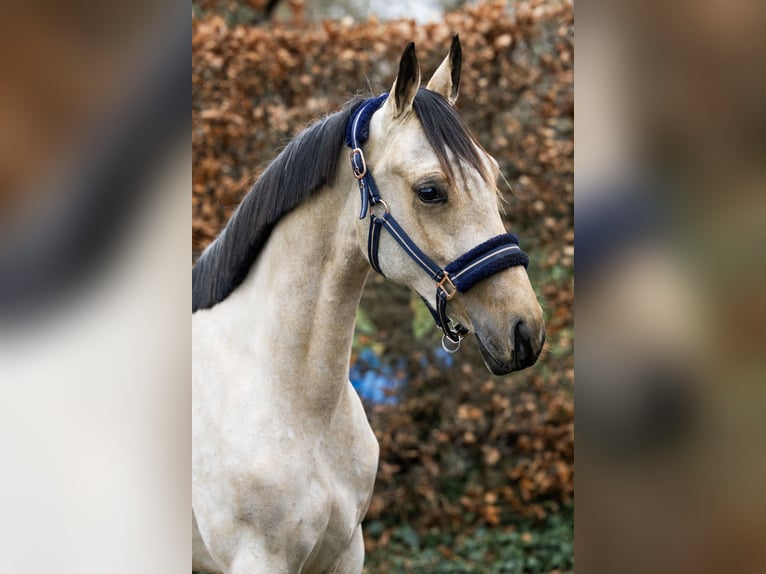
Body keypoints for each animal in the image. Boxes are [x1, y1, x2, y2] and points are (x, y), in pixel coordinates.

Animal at [192, 37, 544, 574]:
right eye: (430, 191)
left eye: (494, 173)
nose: (525, 330)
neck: (298, 407)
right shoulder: (256, 559)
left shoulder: (346, 552)